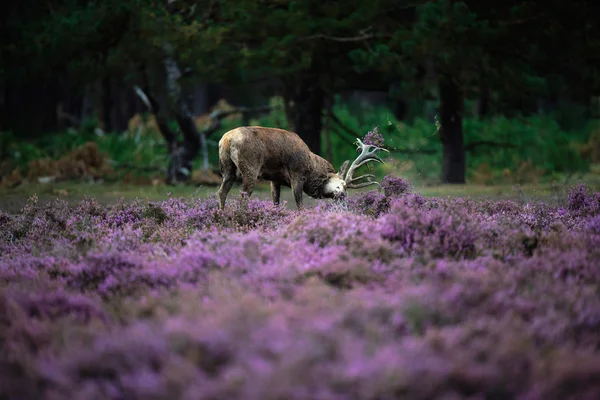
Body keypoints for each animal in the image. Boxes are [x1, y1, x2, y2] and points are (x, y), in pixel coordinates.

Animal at [218, 126, 386, 209]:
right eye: (343, 184)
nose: (344, 196)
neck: (312, 167)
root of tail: (226, 140)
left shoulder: (274, 179)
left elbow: (276, 203)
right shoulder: (297, 174)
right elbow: (300, 206)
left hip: (227, 168)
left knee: (221, 192)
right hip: (250, 167)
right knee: (243, 196)